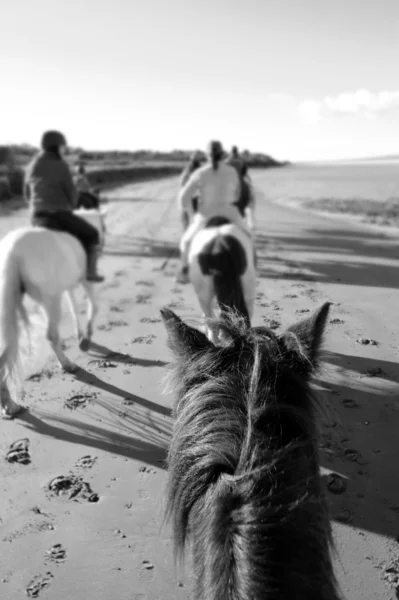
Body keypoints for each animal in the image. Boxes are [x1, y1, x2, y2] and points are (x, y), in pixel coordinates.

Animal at [0, 206, 107, 418]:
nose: (103, 243)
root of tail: (12, 251)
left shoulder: (67, 287)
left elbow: (74, 309)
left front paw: (80, 336)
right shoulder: (85, 281)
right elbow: (93, 306)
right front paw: (86, 339)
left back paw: (9, 405)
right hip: (50, 300)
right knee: (51, 335)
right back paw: (68, 365)